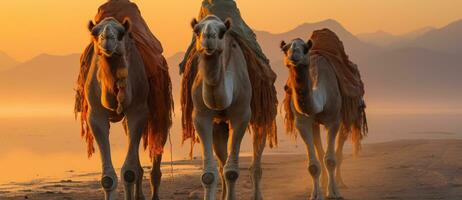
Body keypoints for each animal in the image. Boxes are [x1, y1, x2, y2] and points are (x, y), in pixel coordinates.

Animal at [85, 17, 166, 200]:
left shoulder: (138, 111)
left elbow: (129, 173)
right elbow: (108, 179)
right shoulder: (95, 114)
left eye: (121, 33)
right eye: (95, 33)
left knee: (158, 139)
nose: (107, 39)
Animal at [188, 15, 260, 200]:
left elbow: (232, 172)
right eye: (197, 31)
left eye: (221, 32)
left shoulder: (241, 114)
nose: (208, 36)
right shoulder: (201, 116)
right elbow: (209, 174)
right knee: (222, 160)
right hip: (218, 125)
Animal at [280, 38, 362, 199]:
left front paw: (333, 193)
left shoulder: (334, 121)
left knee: (339, 150)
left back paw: (340, 183)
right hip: (315, 124)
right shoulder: (303, 123)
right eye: (285, 48)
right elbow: (313, 164)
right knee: (320, 149)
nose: (294, 56)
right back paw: (324, 183)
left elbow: (331, 160)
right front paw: (316, 194)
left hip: (348, 116)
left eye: (305, 48)